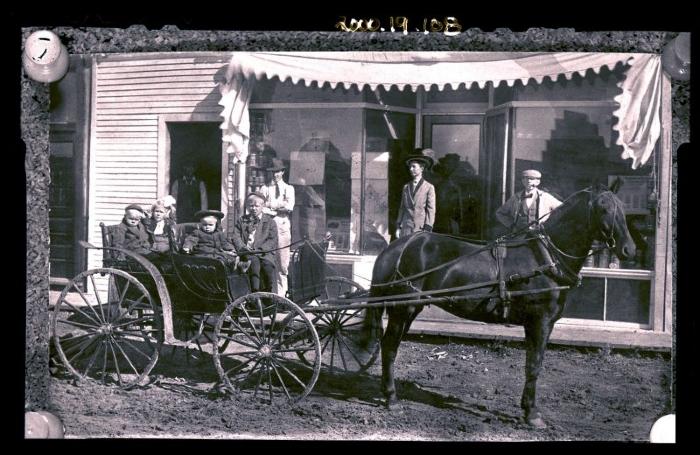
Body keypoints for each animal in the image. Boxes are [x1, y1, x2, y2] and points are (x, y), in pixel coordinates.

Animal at [364, 183, 636, 430]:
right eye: (603, 208)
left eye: (622, 207)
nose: (629, 249)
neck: (546, 258)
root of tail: (396, 248)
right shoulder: (541, 321)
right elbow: (534, 365)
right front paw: (532, 414)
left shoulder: (535, 324)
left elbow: (531, 364)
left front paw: (528, 409)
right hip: (403, 309)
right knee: (389, 347)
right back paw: (391, 398)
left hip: (410, 309)